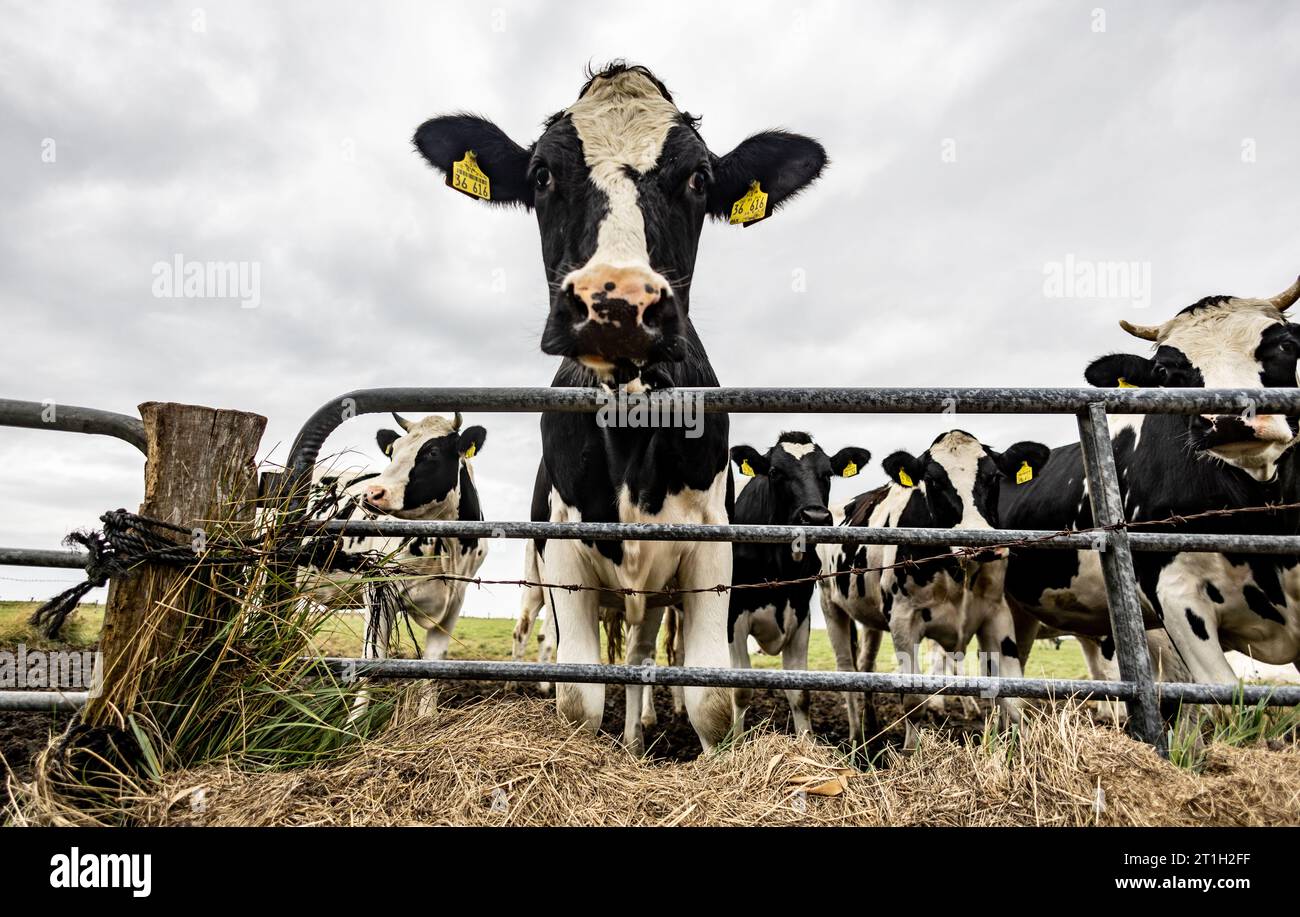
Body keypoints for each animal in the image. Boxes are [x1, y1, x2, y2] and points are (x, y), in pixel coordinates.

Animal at [299, 408, 488, 717]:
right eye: (394, 451)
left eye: (432, 451)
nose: (372, 493)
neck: (445, 550)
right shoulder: (378, 589)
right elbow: (373, 657)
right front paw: (355, 721)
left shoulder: (455, 600)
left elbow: (435, 662)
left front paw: (427, 718)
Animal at [410, 62, 826, 749]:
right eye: (542, 175)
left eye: (699, 178)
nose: (618, 302)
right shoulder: (564, 552)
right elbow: (578, 697)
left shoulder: (711, 548)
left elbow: (711, 698)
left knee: (639, 651)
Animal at [728, 431, 868, 733]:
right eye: (774, 472)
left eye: (827, 473)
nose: (815, 517)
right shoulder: (733, 616)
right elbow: (741, 690)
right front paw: (733, 742)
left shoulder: (800, 613)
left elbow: (800, 693)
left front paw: (806, 739)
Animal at [816, 431, 1050, 749]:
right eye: (933, 480)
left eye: (994, 476)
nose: (981, 544)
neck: (957, 572)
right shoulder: (903, 620)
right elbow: (914, 701)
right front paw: (911, 754)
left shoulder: (996, 614)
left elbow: (1014, 700)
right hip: (830, 604)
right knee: (846, 670)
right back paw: (855, 737)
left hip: (871, 616)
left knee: (865, 665)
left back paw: (872, 729)